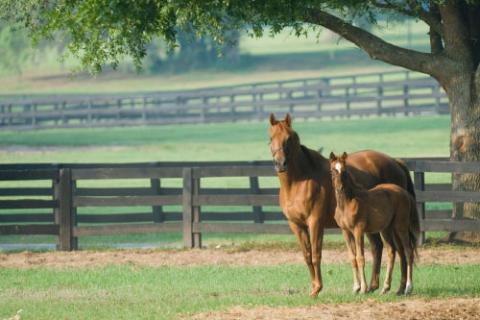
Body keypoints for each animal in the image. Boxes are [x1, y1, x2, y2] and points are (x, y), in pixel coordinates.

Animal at [330, 152, 420, 296]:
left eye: (344, 171)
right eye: (332, 170)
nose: (340, 188)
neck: (347, 203)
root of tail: (404, 192)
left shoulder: (358, 230)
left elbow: (360, 258)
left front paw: (363, 288)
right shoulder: (345, 231)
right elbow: (352, 258)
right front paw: (355, 287)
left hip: (400, 227)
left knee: (408, 251)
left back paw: (408, 287)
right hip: (386, 229)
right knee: (392, 252)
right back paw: (386, 288)